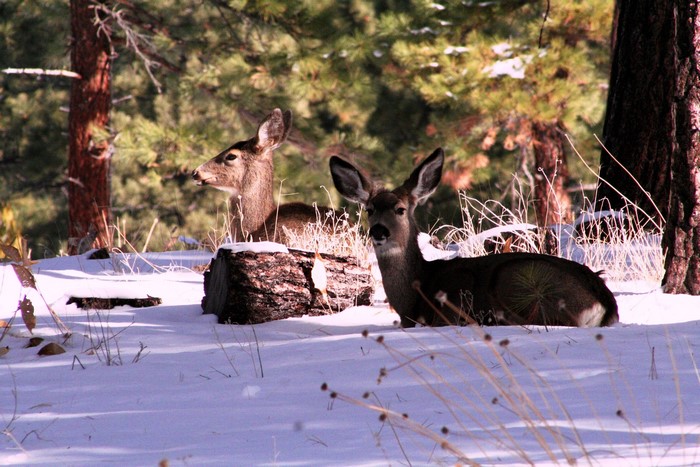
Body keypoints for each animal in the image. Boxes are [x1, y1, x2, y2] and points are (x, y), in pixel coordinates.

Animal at [329, 148, 619, 328]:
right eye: (369, 210)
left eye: (400, 209)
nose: (379, 231)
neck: (414, 297)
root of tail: (604, 303)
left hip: (518, 279)